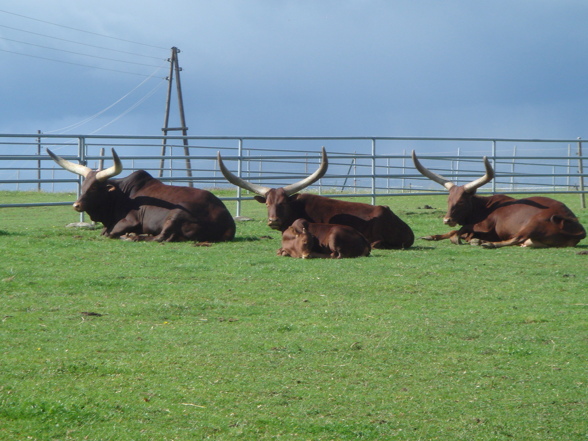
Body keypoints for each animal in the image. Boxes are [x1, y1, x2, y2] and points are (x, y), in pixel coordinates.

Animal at [48, 150, 235, 242]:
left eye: (94, 187)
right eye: (84, 185)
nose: (76, 205)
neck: (121, 196)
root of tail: (227, 220)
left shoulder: (129, 221)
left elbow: (110, 233)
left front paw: (126, 234)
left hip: (176, 214)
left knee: (160, 238)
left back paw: (133, 237)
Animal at [412, 150, 584, 248]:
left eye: (461, 201)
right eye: (448, 200)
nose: (447, 220)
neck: (484, 208)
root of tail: (576, 226)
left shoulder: (484, 226)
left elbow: (461, 231)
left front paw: (469, 239)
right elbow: (456, 230)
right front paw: (431, 236)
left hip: (533, 224)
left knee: (515, 239)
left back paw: (487, 243)